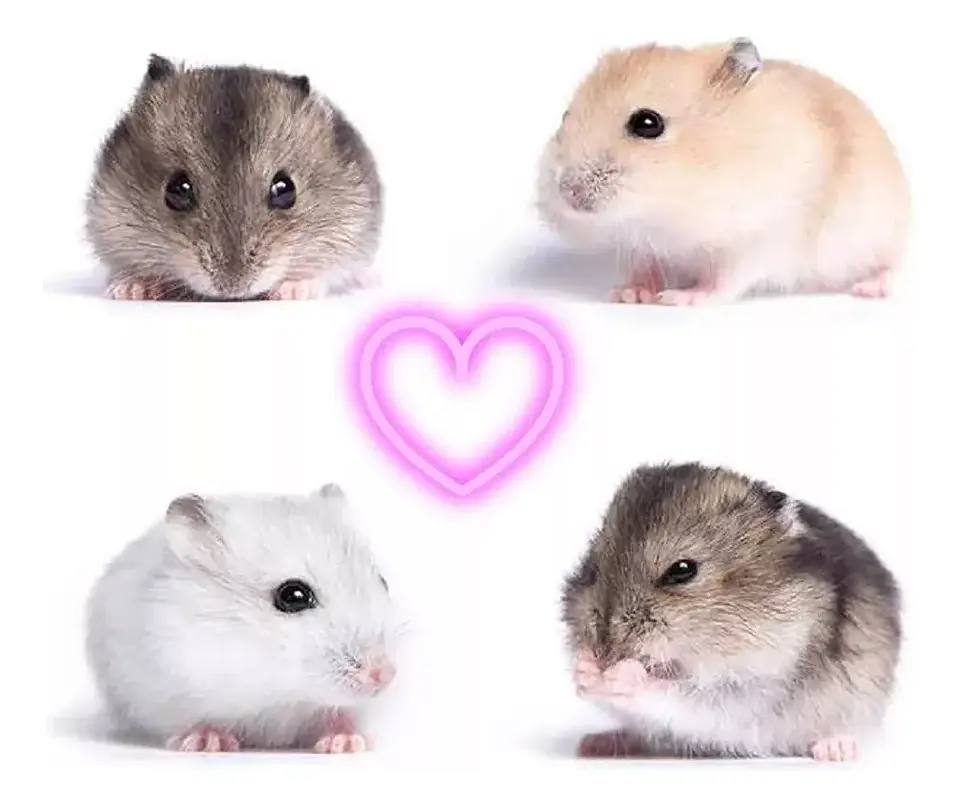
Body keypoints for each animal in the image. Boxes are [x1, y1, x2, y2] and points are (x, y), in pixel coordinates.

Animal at [85, 484, 400, 753]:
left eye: (383, 582)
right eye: (293, 596)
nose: (384, 675)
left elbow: (340, 715)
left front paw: (347, 743)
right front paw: (208, 742)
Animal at [537, 39, 910, 305]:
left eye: (647, 123)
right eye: (565, 117)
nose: (567, 193)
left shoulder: (762, 236)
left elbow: (724, 280)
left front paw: (678, 298)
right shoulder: (644, 243)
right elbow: (645, 265)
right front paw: (629, 294)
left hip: (883, 231)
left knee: (893, 265)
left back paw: (869, 289)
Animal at [561, 462, 901, 761]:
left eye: (682, 570)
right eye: (594, 567)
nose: (604, 649)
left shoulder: (754, 684)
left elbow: (678, 691)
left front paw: (621, 674)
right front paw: (586, 671)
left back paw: (835, 750)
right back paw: (595, 743)